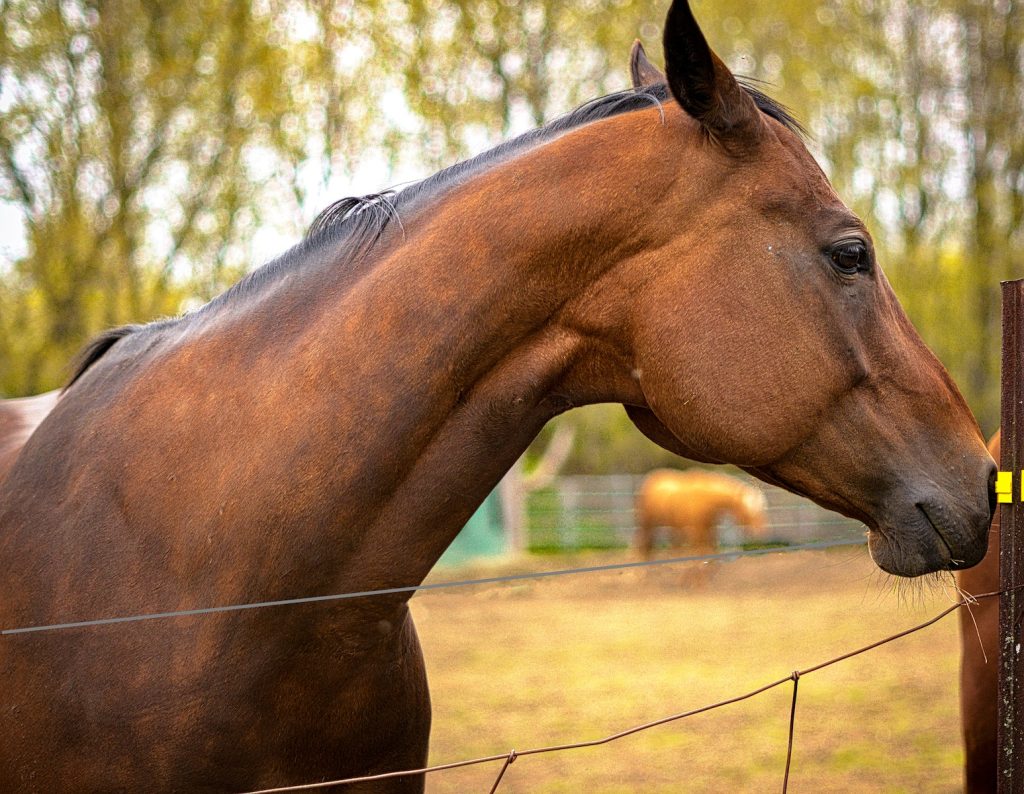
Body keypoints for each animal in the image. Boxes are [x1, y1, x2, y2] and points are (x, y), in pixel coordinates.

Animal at [630, 469, 770, 561]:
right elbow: (701, 549)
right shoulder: (698, 529)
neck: (707, 500)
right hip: (647, 523)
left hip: (673, 525)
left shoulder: (709, 528)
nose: (760, 532)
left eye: (762, 509)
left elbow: (711, 548)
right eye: (747, 509)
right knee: (644, 542)